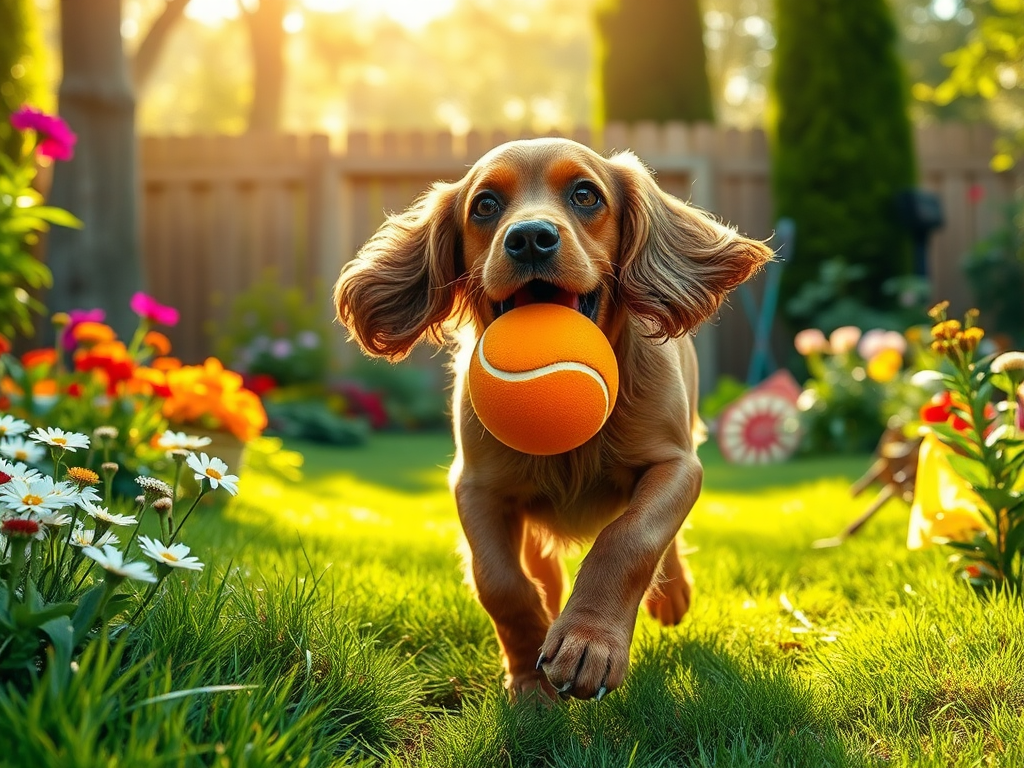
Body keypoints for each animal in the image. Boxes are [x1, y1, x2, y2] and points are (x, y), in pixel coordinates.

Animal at [335, 138, 774, 704]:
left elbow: (630, 538)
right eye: (485, 205)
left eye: (585, 195)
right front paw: (529, 681)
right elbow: (501, 582)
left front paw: (588, 641)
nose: (529, 239)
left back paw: (671, 592)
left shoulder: (676, 465)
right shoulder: (477, 488)